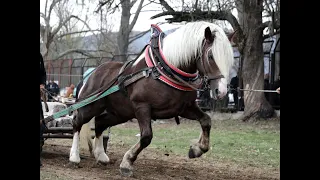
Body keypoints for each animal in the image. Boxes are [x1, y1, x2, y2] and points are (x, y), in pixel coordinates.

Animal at [69, 21, 234, 176]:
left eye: (229, 59)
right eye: (211, 56)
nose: (221, 91)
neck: (162, 70)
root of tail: (94, 72)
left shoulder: (184, 108)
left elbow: (206, 120)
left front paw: (197, 149)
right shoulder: (142, 107)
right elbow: (146, 137)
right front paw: (127, 163)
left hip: (120, 113)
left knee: (100, 123)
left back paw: (101, 155)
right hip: (91, 106)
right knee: (77, 122)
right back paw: (74, 157)